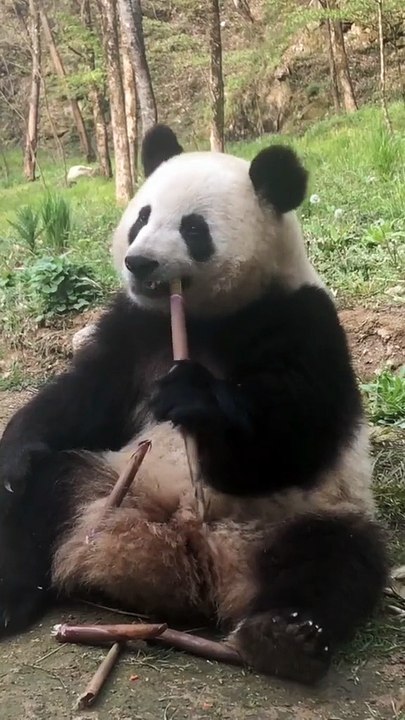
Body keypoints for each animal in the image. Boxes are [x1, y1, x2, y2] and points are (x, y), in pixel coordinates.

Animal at [0, 124, 388, 685]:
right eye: (142, 216)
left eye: (193, 228)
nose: (138, 261)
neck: (202, 317)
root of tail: (187, 554)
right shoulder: (135, 327)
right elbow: (87, 396)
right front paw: (17, 449)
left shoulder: (301, 321)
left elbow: (290, 439)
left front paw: (193, 397)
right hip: (105, 486)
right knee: (42, 497)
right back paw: (10, 595)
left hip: (298, 517)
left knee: (337, 560)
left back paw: (283, 636)